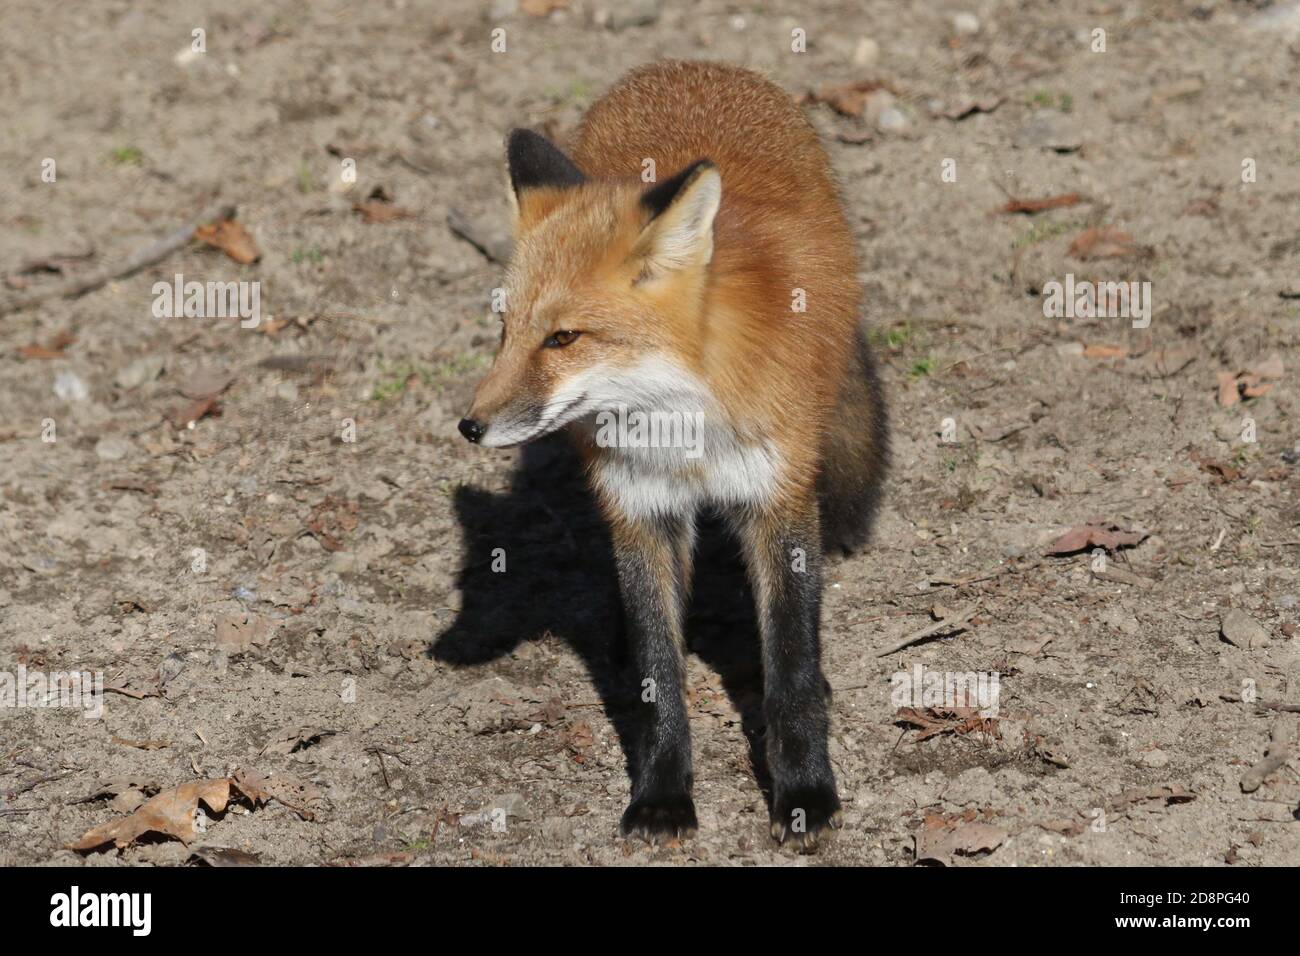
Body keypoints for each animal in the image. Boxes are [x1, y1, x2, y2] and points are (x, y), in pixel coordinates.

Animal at [458, 60, 887, 851]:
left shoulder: (778, 500)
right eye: (506, 332)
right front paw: (661, 797)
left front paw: (805, 793)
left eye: (563, 338)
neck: (685, 431)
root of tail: (685, 68)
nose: (469, 427)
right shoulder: (641, 509)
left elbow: (791, 667)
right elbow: (661, 677)